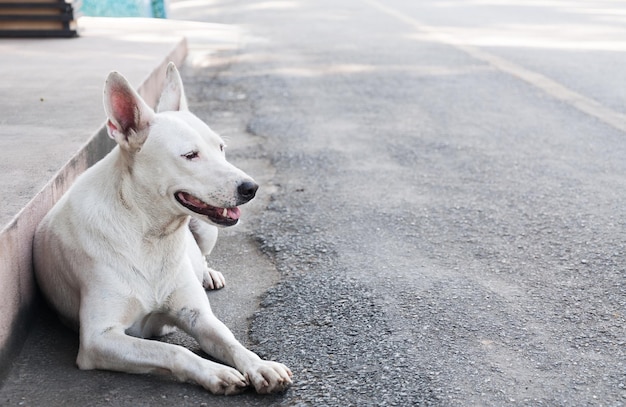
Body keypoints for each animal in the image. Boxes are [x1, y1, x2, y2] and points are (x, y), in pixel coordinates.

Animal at [31, 63, 290, 396]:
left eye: (221, 147)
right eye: (190, 155)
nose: (251, 188)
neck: (149, 235)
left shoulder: (198, 316)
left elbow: (231, 341)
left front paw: (261, 366)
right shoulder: (99, 339)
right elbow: (174, 351)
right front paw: (216, 372)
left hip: (207, 231)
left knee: (203, 255)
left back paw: (208, 274)